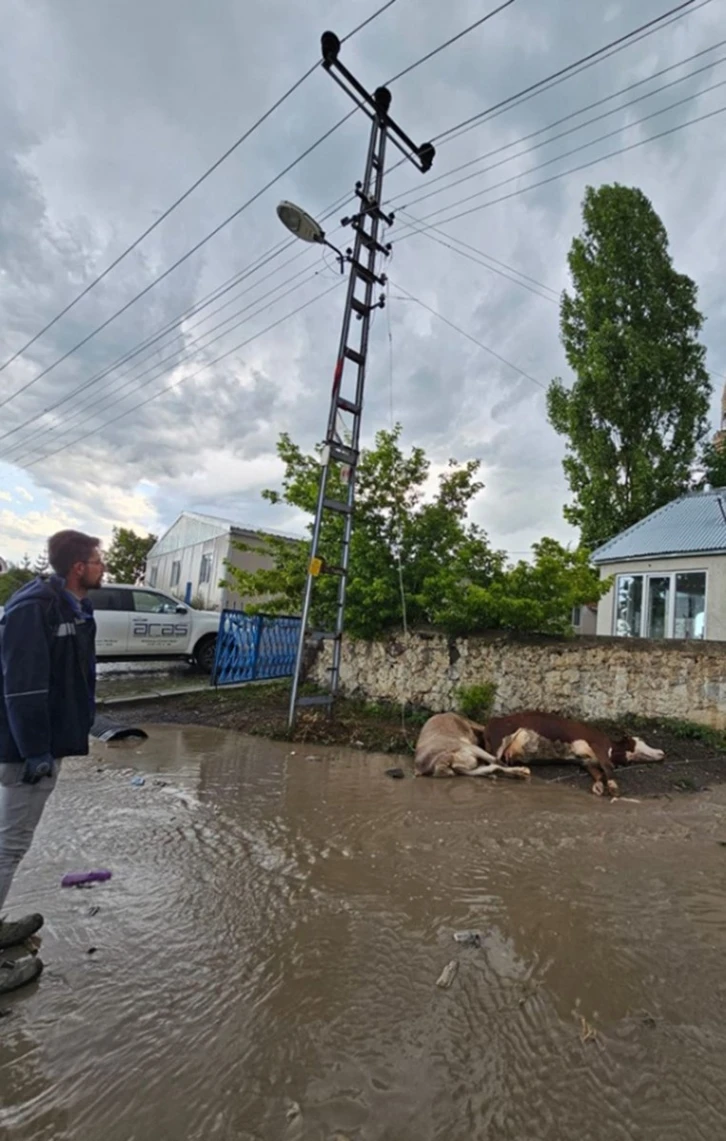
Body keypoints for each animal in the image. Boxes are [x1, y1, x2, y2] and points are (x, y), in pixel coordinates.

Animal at [484, 707, 666, 798]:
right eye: (640, 741)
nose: (662, 751)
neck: (611, 748)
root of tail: (491, 721)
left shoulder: (586, 761)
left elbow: (599, 773)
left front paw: (599, 786)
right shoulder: (597, 744)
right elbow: (608, 767)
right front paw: (613, 787)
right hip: (500, 741)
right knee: (493, 764)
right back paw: (521, 771)